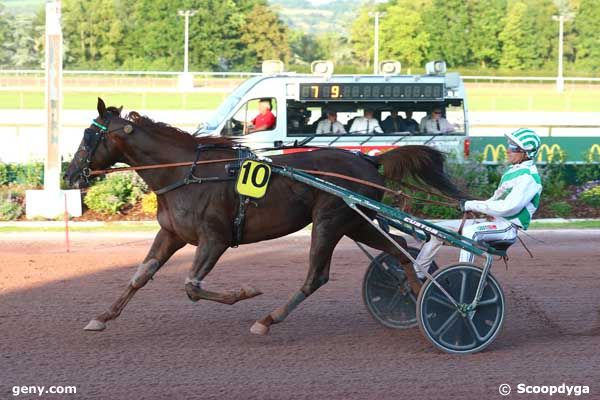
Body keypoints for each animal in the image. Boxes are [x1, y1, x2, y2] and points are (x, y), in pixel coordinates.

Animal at [63, 98, 462, 336]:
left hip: (333, 220)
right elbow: (140, 276)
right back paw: (419, 296)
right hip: (356, 222)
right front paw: (102, 317)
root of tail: (369, 161)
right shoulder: (172, 235)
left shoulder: (215, 239)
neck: (186, 173)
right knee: (400, 251)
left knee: (318, 276)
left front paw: (245, 292)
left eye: (89, 136)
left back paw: (268, 319)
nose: (69, 175)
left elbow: (192, 286)